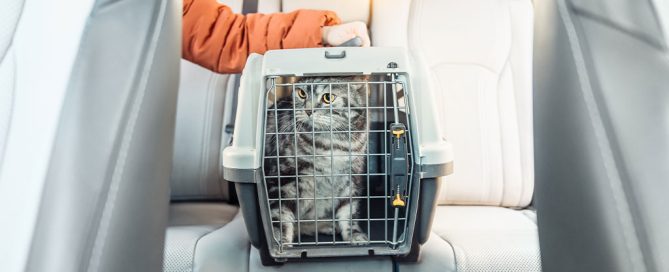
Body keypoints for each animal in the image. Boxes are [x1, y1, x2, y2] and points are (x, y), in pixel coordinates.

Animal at [264, 75, 370, 245]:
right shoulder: (283, 179)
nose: (308, 110)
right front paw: (281, 243)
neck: (333, 142)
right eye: (302, 94)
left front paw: (354, 234)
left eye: (328, 97)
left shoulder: (351, 178)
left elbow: (349, 211)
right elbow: (280, 217)